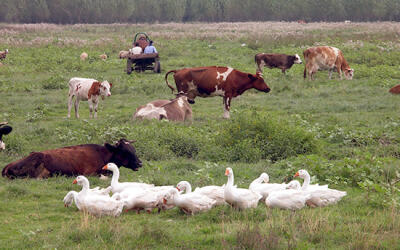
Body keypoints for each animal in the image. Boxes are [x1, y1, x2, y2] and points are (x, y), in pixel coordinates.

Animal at [0, 138, 142, 179]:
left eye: (134, 150)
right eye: (125, 151)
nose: (140, 163)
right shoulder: (90, 173)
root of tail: (7, 166)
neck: (103, 155)